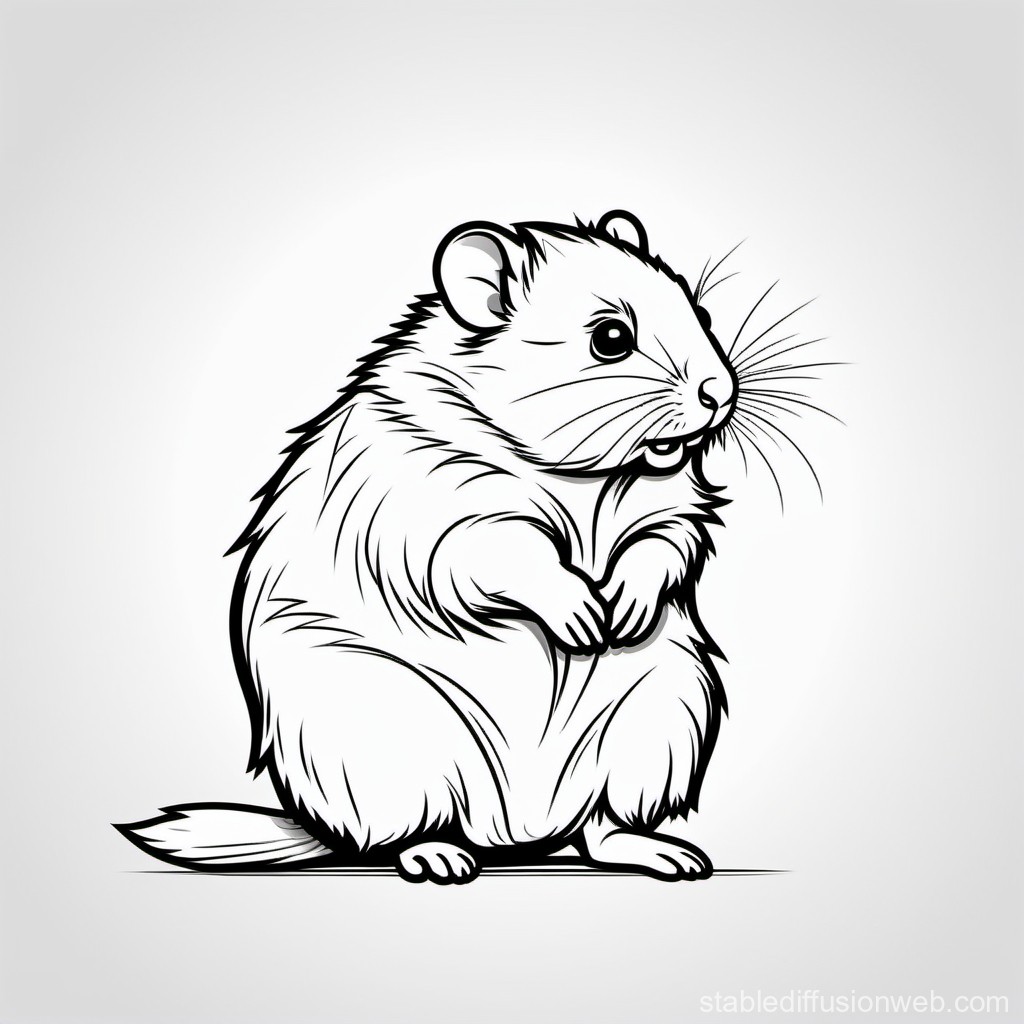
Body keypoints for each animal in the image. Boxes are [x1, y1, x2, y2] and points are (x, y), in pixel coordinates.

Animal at [119, 211, 738, 882]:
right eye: (611, 338)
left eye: (702, 313)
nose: (720, 393)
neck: (577, 477)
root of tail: (518, 828)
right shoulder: (442, 516)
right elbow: (511, 556)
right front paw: (581, 615)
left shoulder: (673, 508)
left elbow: (664, 542)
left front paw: (622, 609)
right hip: (387, 740)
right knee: (403, 832)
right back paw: (438, 856)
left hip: (662, 717)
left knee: (598, 826)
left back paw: (664, 853)